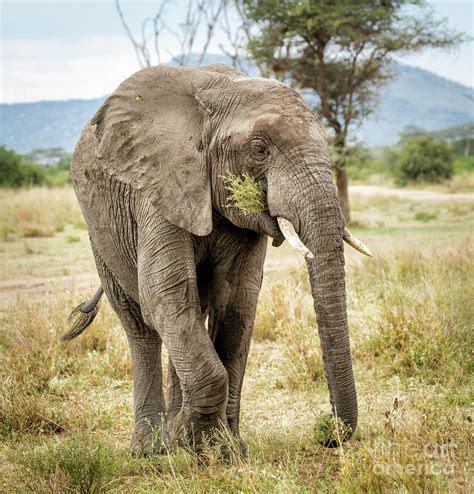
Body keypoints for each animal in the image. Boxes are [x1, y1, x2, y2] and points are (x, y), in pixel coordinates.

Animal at [63, 63, 372, 458]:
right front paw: (203, 446)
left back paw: (174, 435)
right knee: (141, 324)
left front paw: (224, 449)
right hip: (99, 232)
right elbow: (163, 293)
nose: (328, 433)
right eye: (259, 149)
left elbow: (238, 301)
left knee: (192, 311)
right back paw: (151, 449)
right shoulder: (160, 186)